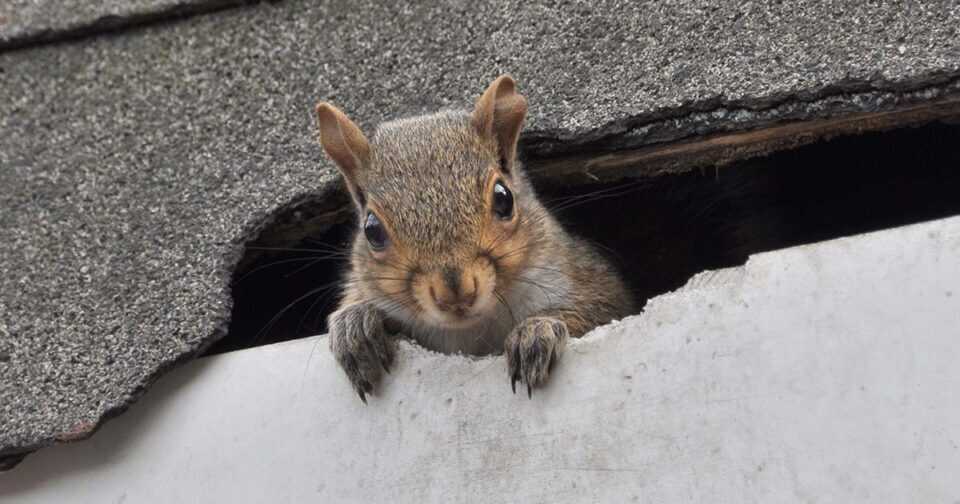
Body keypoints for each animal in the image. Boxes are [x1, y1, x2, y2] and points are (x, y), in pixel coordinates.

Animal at [315, 75, 634, 402]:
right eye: (372, 229)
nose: (455, 293)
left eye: (504, 199)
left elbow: (599, 308)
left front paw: (536, 330)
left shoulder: (581, 275)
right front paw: (354, 325)